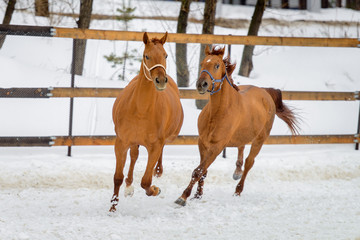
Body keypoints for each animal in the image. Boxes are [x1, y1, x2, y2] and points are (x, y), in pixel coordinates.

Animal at [109, 31, 183, 212]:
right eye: (146, 56)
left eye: (165, 55)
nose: (161, 80)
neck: (141, 110)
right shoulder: (121, 142)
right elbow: (117, 177)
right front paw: (113, 207)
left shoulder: (155, 146)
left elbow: (146, 182)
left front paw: (155, 189)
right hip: (133, 142)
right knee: (134, 156)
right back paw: (129, 186)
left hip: (167, 138)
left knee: (158, 155)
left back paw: (158, 171)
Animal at [174, 45, 298, 206]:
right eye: (202, 64)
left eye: (217, 65)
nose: (201, 84)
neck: (217, 113)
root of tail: (265, 92)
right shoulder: (202, 142)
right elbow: (203, 171)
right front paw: (197, 195)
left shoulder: (217, 146)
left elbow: (199, 170)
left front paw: (183, 197)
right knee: (241, 148)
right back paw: (237, 172)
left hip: (259, 140)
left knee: (249, 162)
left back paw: (238, 190)